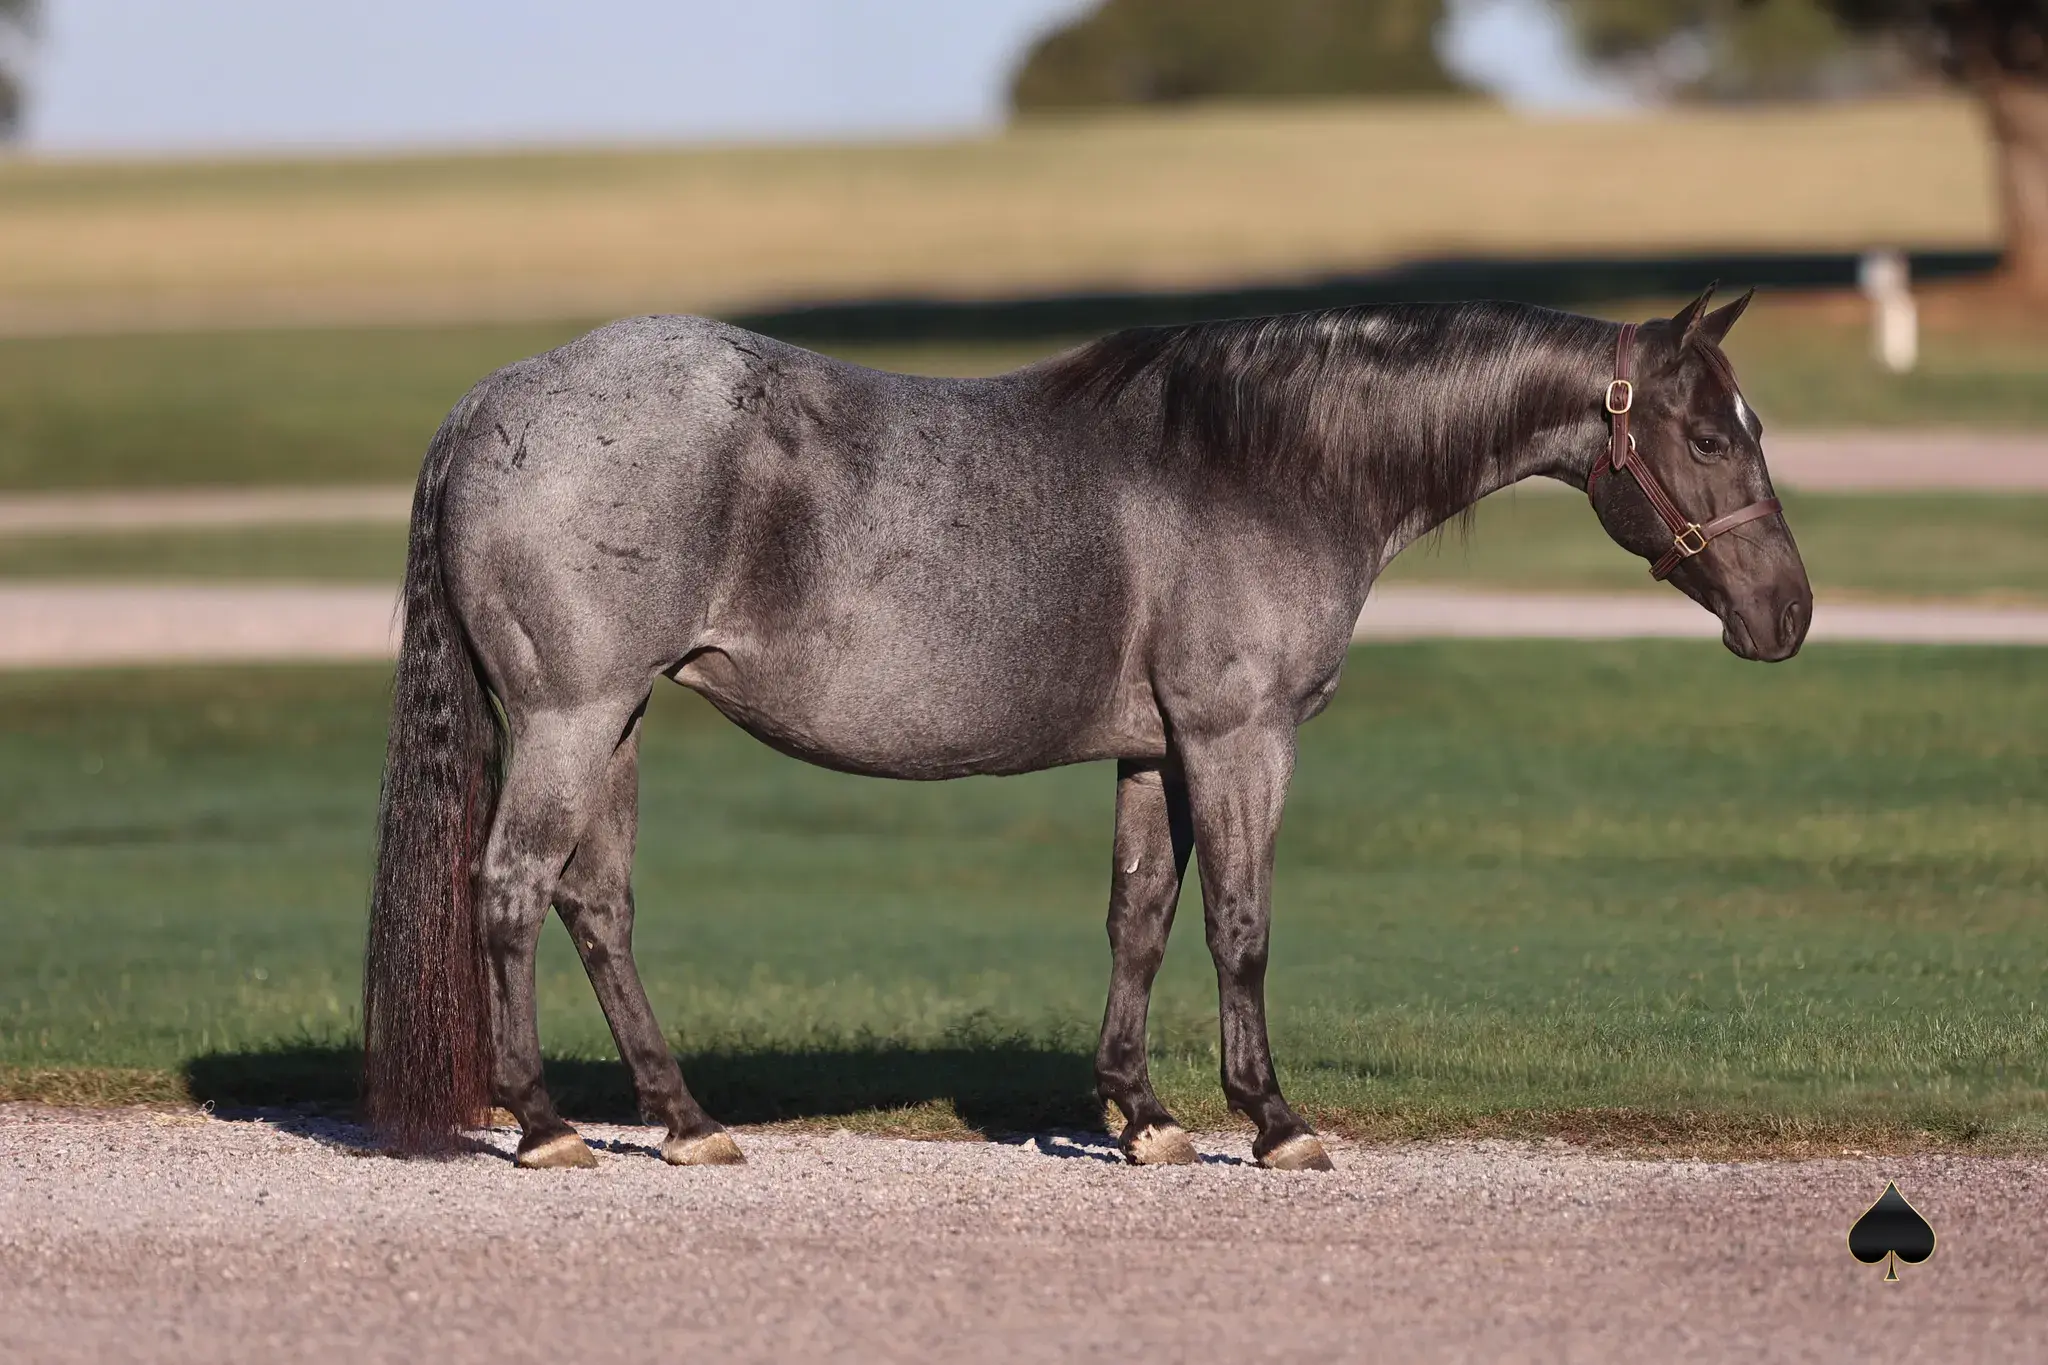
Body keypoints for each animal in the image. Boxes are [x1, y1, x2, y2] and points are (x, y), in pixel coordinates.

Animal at [363, 285, 1810, 1171]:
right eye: (1701, 433)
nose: (1787, 613)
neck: (1265, 463)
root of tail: (493, 402)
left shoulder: (1154, 750)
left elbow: (1140, 919)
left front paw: (1139, 1114)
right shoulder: (1239, 739)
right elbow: (1240, 925)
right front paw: (1271, 1119)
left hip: (613, 723)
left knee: (594, 905)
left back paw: (681, 1120)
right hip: (572, 718)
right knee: (512, 889)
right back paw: (546, 1124)